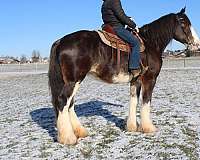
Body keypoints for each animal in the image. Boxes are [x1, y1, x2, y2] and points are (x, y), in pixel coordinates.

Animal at [48, 7, 198, 145]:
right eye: (184, 23)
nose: (196, 44)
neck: (150, 43)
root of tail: (61, 41)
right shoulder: (150, 79)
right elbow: (146, 101)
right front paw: (149, 128)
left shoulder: (136, 81)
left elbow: (134, 100)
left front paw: (132, 127)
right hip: (74, 80)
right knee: (62, 101)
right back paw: (68, 138)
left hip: (71, 81)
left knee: (70, 104)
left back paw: (80, 132)